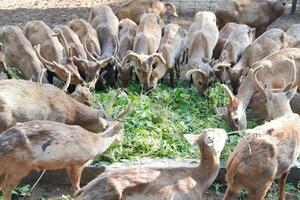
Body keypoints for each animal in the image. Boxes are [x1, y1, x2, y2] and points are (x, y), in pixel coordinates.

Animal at [223, 58, 300, 199]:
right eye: (266, 104)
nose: (267, 118)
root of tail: (236, 164)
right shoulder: (291, 161)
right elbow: (283, 181)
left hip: (230, 182)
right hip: (262, 182)